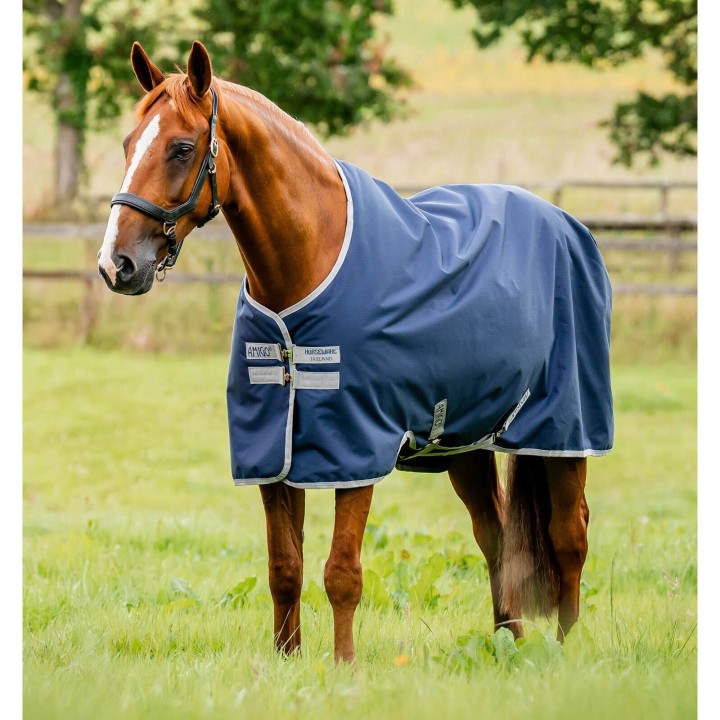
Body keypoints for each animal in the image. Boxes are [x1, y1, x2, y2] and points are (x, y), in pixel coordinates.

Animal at [98, 41, 613, 663]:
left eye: (180, 147)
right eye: (129, 144)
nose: (117, 264)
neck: (308, 265)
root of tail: (566, 225)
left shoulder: (355, 446)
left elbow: (341, 572)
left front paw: (344, 668)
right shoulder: (273, 451)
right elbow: (284, 568)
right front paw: (286, 661)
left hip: (564, 430)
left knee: (569, 535)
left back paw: (567, 649)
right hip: (464, 441)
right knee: (494, 538)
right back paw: (506, 644)